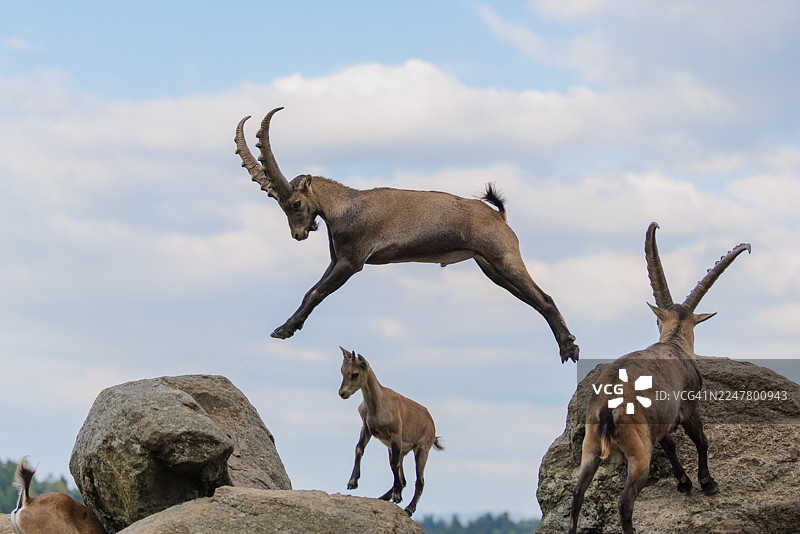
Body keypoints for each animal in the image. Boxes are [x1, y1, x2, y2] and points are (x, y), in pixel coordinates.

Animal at [234, 108, 579, 363]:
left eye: (294, 203)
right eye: (281, 205)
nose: (298, 234)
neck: (345, 208)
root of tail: (498, 215)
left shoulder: (352, 260)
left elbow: (316, 293)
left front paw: (284, 329)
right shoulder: (337, 259)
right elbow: (310, 291)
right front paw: (284, 328)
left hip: (503, 255)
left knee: (545, 299)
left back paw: (569, 349)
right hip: (490, 266)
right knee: (533, 300)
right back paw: (567, 344)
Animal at [338, 347, 444, 516]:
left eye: (355, 373)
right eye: (342, 371)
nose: (342, 393)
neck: (378, 404)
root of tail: (431, 422)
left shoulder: (396, 434)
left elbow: (394, 465)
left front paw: (398, 496)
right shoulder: (366, 429)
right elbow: (359, 449)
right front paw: (352, 482)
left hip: (422, 449)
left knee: (419, 481)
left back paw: (409, 508)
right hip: (401, 450)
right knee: (404, 479)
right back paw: (383, 497)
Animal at [567, 223, 750, 534]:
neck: (674, 343)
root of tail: (606, 410)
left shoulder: (661, 420)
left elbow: (671, 444)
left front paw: (684, 482)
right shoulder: (688, 407)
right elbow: (701, 440)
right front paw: (707, 483)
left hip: (589, 450)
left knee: (578, 495)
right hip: (639, 455)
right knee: (624, 502)